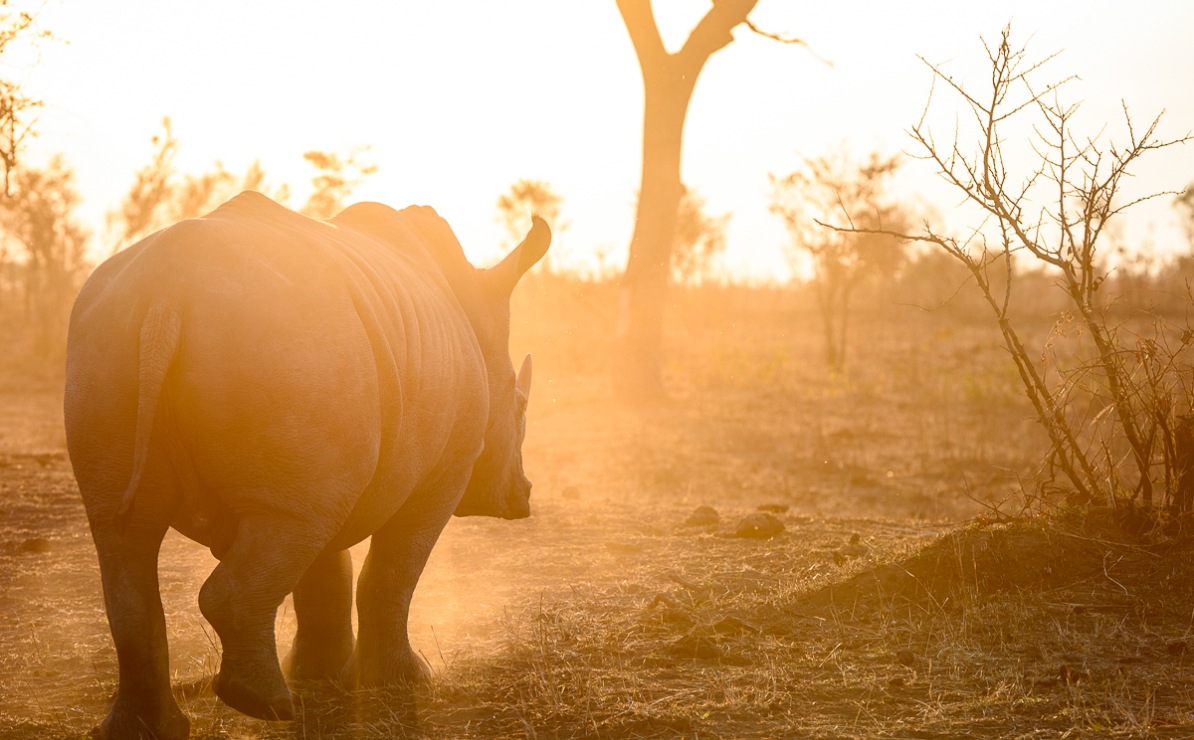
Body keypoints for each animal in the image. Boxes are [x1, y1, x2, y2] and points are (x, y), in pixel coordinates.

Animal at [63, 191, 549, 739]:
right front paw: (406, 682)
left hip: (110, 342)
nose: (524, 496)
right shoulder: (441, 473)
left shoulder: (325, 472)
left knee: (125, 535)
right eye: (520, 406)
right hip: (292, 344)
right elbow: (392, 573)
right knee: (271, 533)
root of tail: (164, 297)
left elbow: (323, 573)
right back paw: (268, 705)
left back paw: (150, 726)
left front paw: (323, 677)